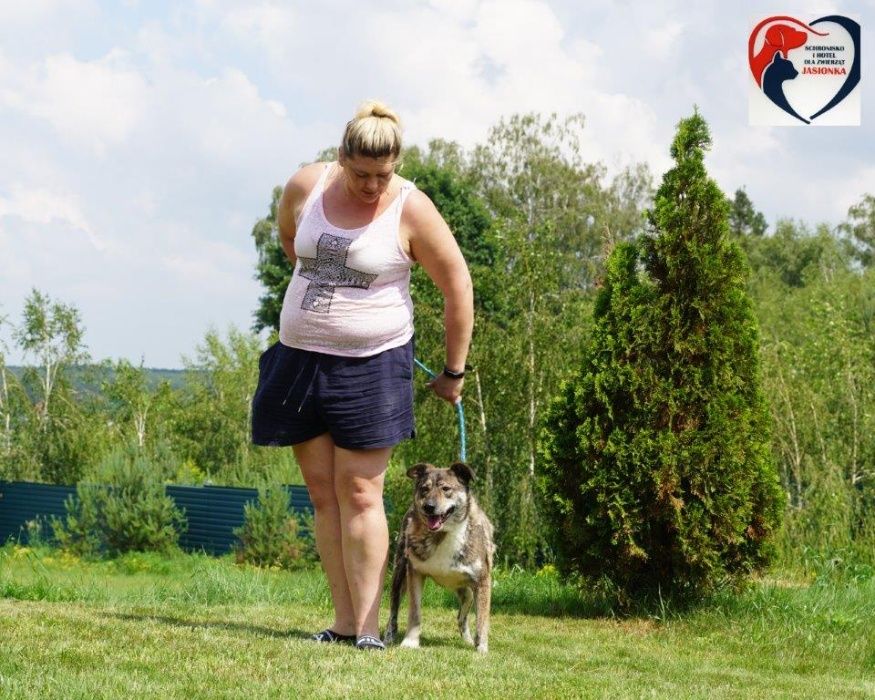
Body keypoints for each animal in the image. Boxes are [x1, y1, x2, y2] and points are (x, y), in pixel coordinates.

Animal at [386, 462, 496, 652]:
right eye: (424, 489)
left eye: (446, 489)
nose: (428, 506)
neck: (444, 534)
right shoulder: (415, 574)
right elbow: (414, 612)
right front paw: (410, 642)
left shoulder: (482, 581)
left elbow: (482, 619)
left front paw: (481, 648)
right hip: (399, 575)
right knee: (393, 609)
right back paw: (388, 637)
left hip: (467, 592)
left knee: (462, 615)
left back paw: (468, 640)